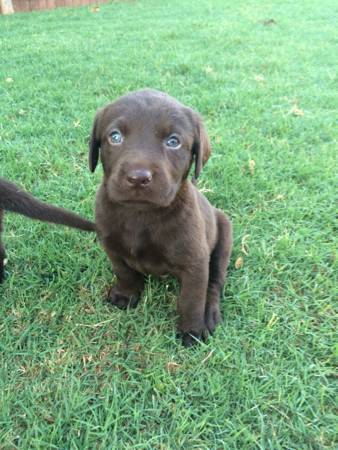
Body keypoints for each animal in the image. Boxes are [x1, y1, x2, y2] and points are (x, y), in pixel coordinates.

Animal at [90, 89, 232, 346]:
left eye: (173, 142)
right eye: (115, 137)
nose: (138, 177)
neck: (140, 214)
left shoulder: (195, 262)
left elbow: (191, 299)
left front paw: (191, 330)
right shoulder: (111, 246)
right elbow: (124, 272)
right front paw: (126, 294)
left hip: (224, 235)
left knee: (215, 281)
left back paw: (210, 313)